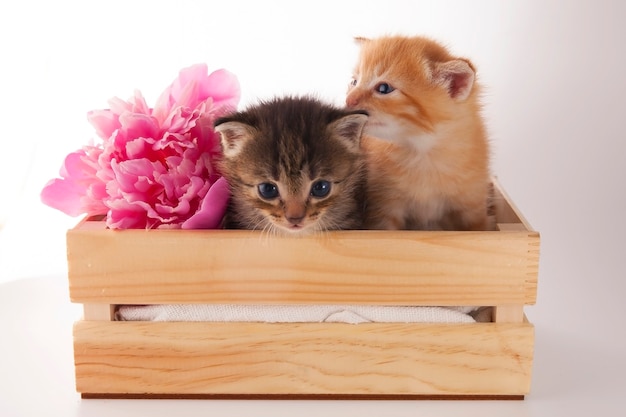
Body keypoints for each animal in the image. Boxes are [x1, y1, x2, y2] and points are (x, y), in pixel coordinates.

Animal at [344, 35, 494, 231]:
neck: (423, 151)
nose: (348, 100)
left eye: (384, 89)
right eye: (354, 82)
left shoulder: (473, 204)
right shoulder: (384, 207)